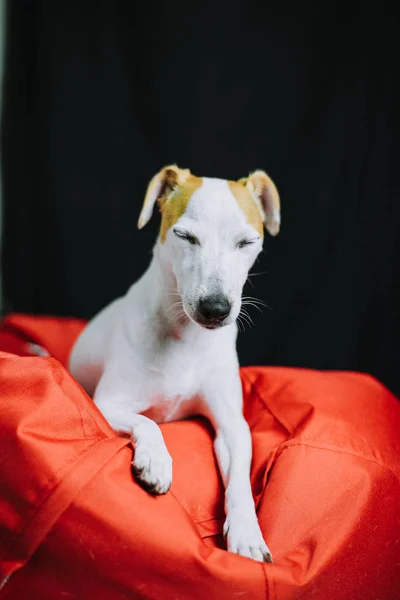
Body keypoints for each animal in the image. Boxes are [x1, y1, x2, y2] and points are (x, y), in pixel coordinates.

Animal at [69, 164, 280, 564]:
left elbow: (240, 480)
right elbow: (149, 422)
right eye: (185, 235)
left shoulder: (233, 426)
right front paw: (156, 461)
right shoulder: (106, 405)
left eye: (246, 242)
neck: (186, 339)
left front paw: (247, 532)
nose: (215, 308)